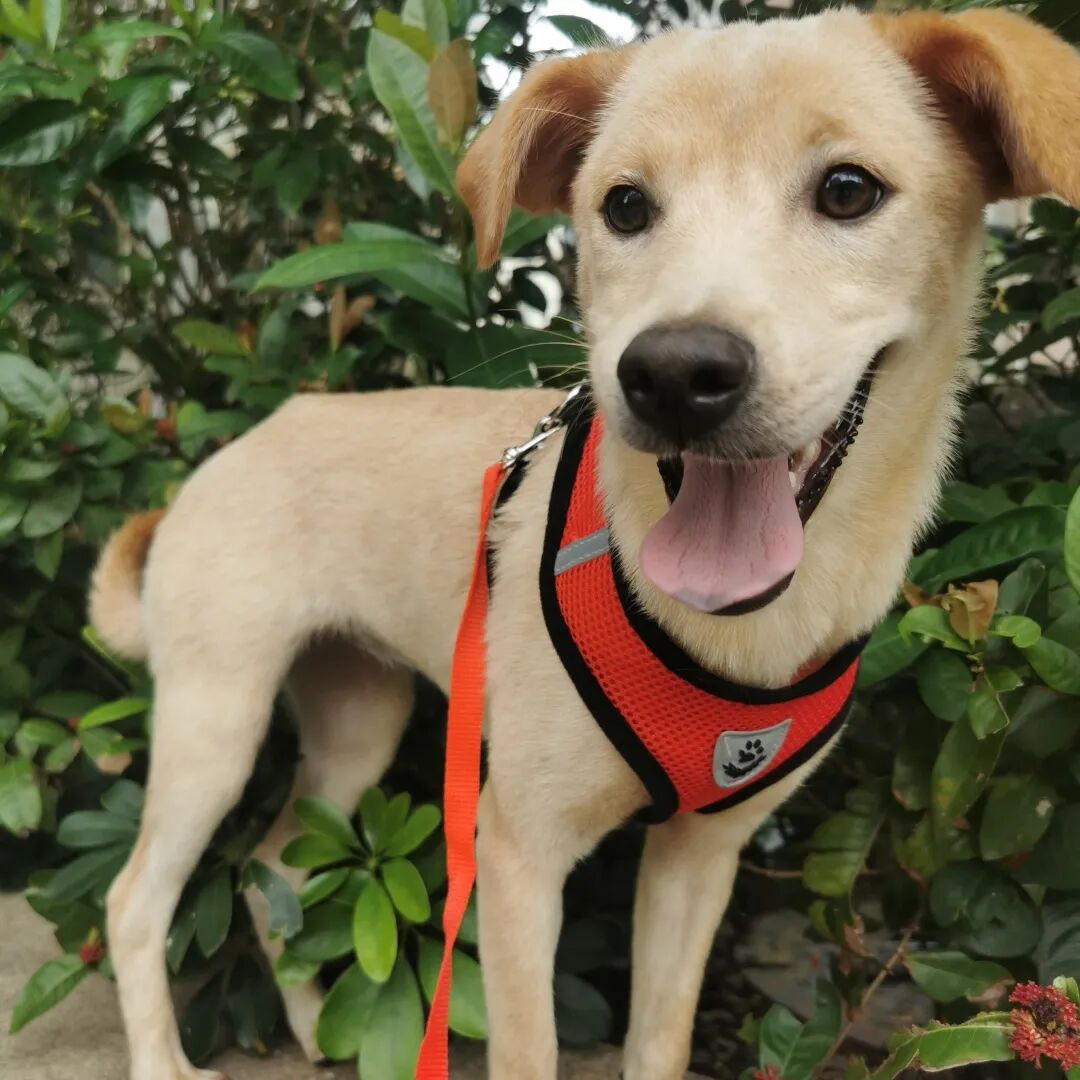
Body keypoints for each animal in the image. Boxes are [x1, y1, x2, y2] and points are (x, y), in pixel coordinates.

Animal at [89, 8, 1080, 1080]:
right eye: (626, 205)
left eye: (849, 190)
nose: (674, 374)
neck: (741, 625)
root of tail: (236, 450)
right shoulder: (516, 852)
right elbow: (530, 1048)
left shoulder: (701, 858)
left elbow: (660, 1039)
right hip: (215, 722)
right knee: (132, 901)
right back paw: (162, 1056)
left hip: (358, 720)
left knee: (272, 864)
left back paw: (316, 1028)